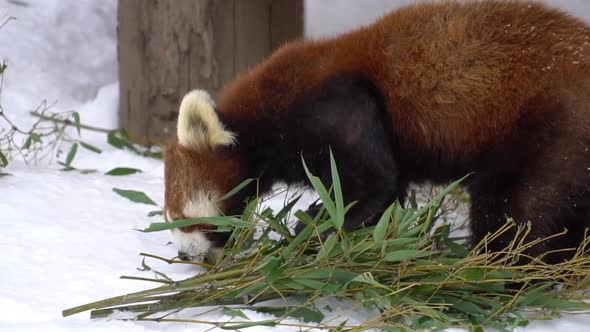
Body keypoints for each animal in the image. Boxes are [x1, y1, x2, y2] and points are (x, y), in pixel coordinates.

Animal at [165, 0, 590, 264]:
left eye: (186, 218)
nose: (184, 255)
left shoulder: (338, 110)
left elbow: (371, 185)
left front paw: (313, 227)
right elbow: (384, 195)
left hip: (547, 131)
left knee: (515, 210)